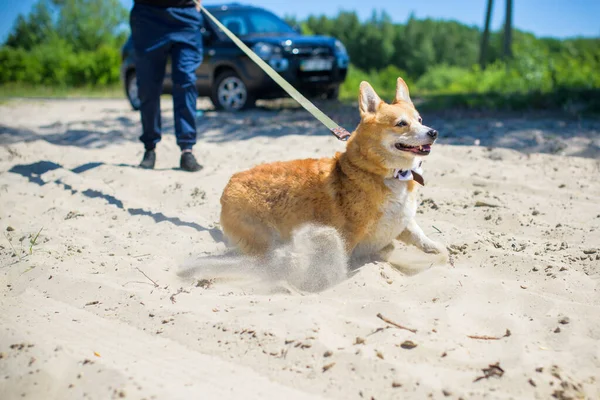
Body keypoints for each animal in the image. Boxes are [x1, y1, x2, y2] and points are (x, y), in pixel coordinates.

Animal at [219, 77, 446, 262]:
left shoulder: (402, 221)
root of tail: (230, 182)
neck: (389, 173)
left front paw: (436, 249)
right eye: (401, 124)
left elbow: (417, 233)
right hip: (262, 238)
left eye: (420, 120)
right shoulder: (350, 234)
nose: (433, 132)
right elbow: (343, 258)